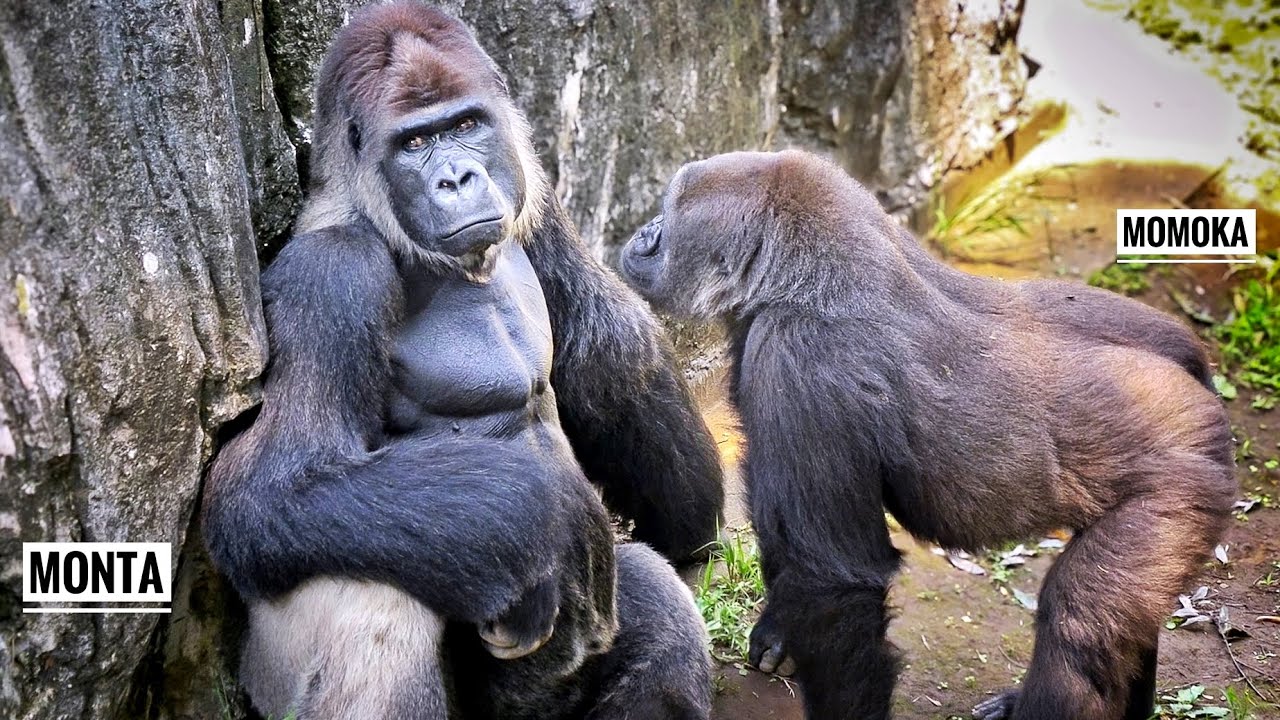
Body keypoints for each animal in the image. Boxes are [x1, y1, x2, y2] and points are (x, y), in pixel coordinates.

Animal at [201, 3, 716, 718]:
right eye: (415, 144)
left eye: (466, 126)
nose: (457, 179)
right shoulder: (330, 275)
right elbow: (272, 484)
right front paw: (550, 515)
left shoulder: (536, 200)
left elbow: (610, 346)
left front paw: (690, 514)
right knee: (368, 593)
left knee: (657, 603)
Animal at [618, 149, 1236, 720]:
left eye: (670, 217)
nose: (644, 232)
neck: (800, 266)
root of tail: (1201, 397)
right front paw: (778, 631)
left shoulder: (801, 358)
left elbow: (832, 580)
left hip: (1182, 482)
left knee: (1078, 623)